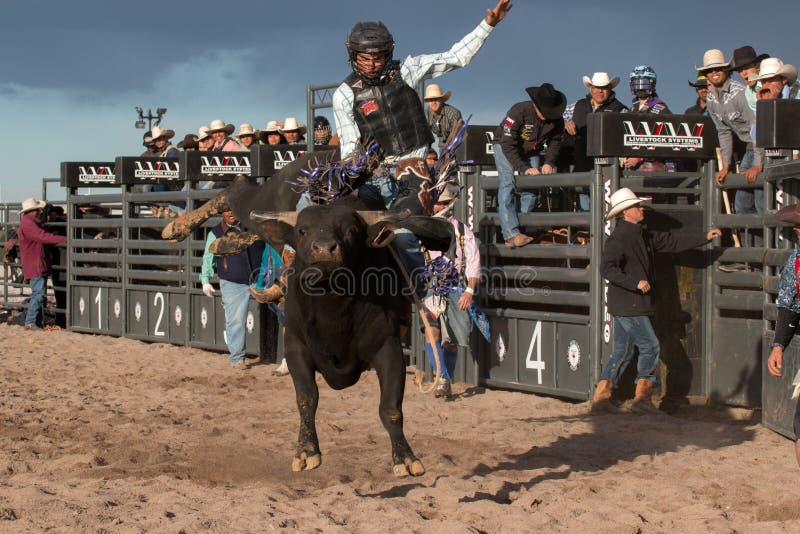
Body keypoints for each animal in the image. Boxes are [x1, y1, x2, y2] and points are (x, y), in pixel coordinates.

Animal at [161, 152, 456, 478]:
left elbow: (390, 407)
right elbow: (306, 398)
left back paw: (220, 242)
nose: (324, 249)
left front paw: (405, 458)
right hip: (267, 198)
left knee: (249, 214)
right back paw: (181, 229)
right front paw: (306, 452)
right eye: (303, 230)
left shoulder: (387, 347)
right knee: (239, 192)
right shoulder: (296, 346)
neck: (333, 308)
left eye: (351, 230)